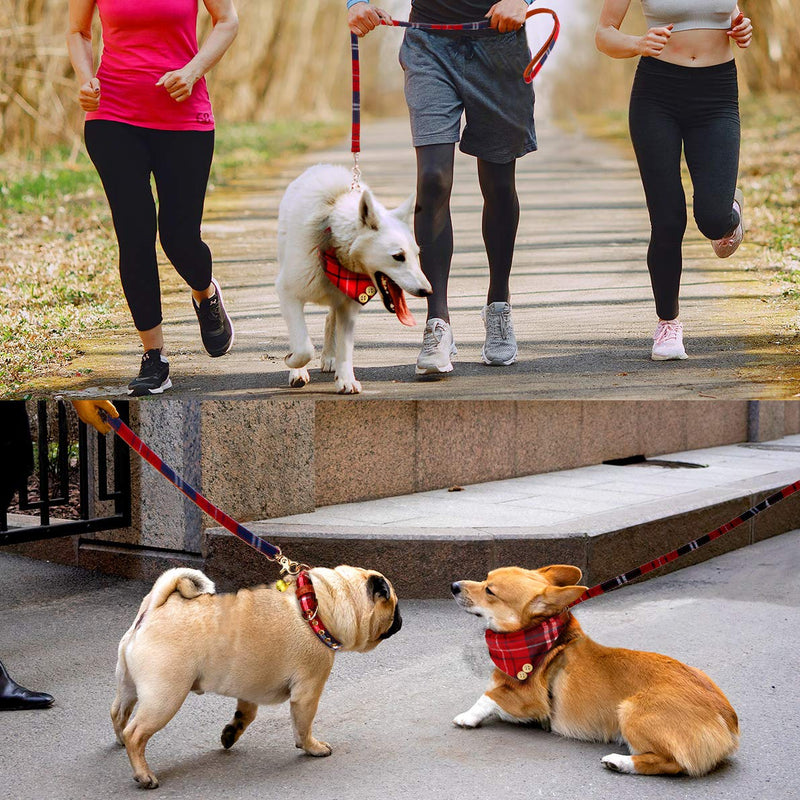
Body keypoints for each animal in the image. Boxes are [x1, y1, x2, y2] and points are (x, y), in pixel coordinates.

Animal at [111, 564, 400, 792]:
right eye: (394, 606)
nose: (400, 620)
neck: (317, 608)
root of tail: (153, 610)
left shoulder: (248, 687)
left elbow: (246, 714)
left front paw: (230, 733)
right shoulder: (308, 691)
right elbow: (303, 726)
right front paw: (313, 747)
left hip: (129, 686)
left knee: (119, 714)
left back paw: (121, 740)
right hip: (165, 696)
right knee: (137, 733)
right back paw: (144, 775)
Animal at [276, 165, 432, 394]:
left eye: (417, 255)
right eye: (398, 256)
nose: (428, 291)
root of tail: (321, 167)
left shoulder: (348, 306)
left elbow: (345, 349)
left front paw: (345, 381)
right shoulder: (289, 293)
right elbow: (303, 346)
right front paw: (293, 363)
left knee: (329, 318)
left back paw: (329, 357)